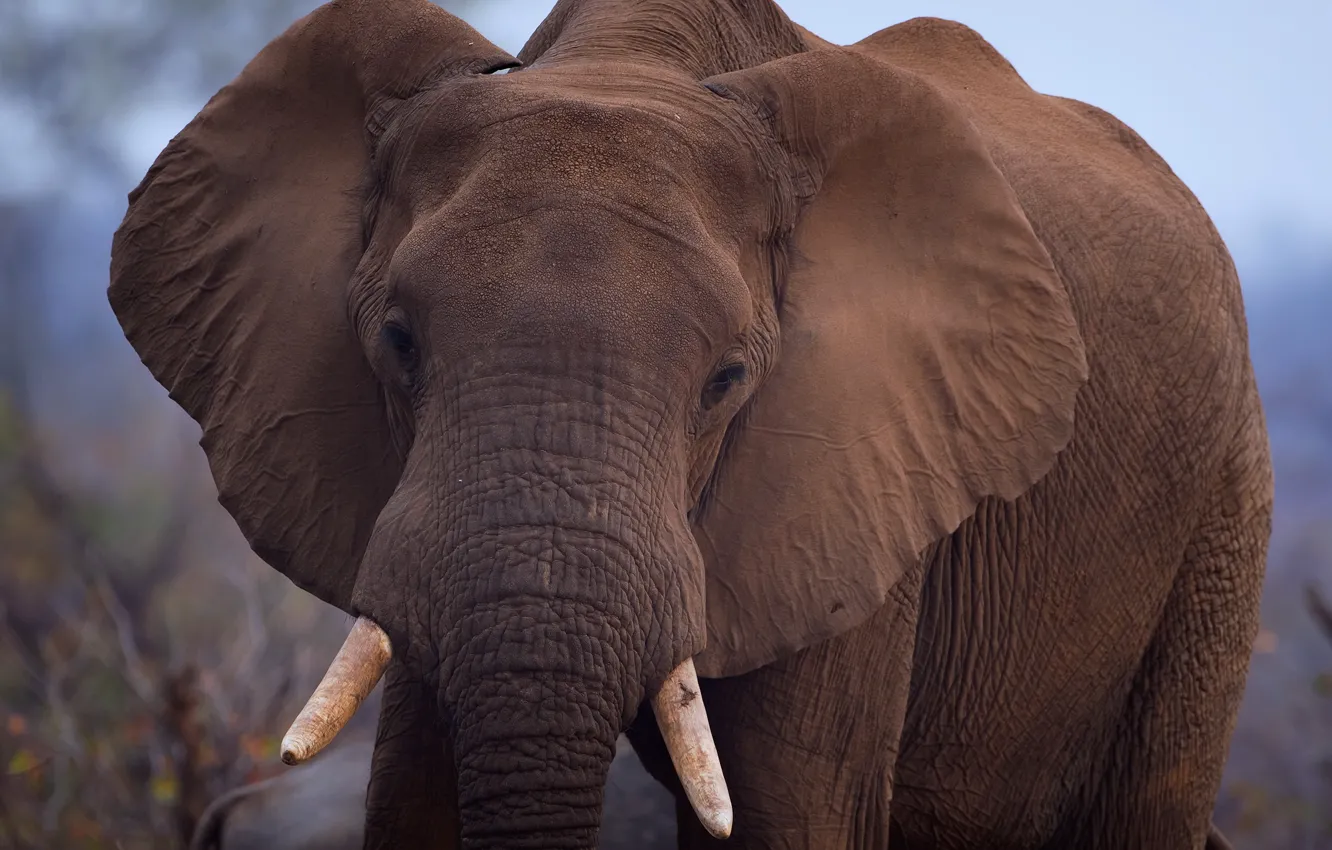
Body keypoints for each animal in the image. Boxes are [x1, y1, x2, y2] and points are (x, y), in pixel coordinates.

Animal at [108, 0, 1273, 847]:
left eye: (727, 380)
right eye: (396, 342)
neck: (627, 62)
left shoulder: (861, 472)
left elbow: (792, 812)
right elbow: (413, 795)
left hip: (1223, 502)